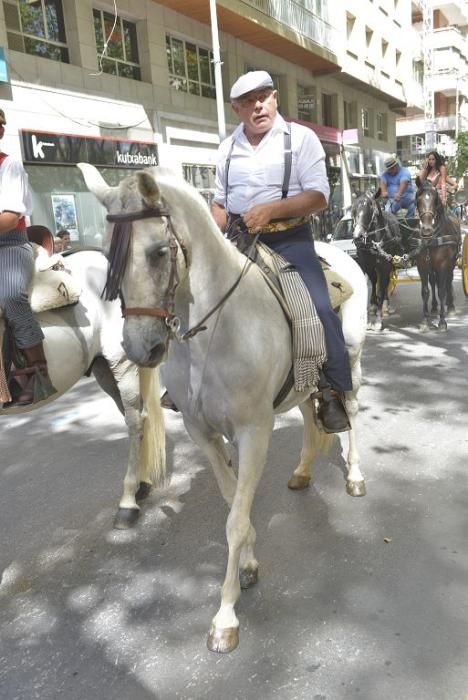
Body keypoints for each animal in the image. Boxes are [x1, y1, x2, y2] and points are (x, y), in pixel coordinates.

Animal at [78, 163, 368, 652]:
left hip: (352, 357)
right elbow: (235, 502)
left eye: (159, 252)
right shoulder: (204, 432)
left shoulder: (254, 431)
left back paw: (356, 476)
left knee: (351, 411)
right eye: (106, 257)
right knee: (311, 416)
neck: (215, 329)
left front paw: (225, 617)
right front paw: (248, 563)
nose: (139, 348)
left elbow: (234, 519)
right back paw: (303, 471)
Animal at [352, 190, 402, 330]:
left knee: (386, 283)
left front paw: (378, 319)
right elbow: (374, 283)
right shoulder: (367, 265)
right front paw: (372, 308)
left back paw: (385, 303)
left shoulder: (384, 266)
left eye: (370, 208)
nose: (357, 236)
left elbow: (382, 286)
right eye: (354, 210)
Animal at [414, 178, 460, 330]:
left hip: (451, 263)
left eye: (435, 200)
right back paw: (434, 307)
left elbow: (441, 290)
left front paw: (442, 321)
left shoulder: (443, 265)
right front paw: (425, 321)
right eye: (418, 199)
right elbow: (425, 291)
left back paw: (450, 306)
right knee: (433, 282)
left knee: (448, 281)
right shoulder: (422, 265)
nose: (427, 230)